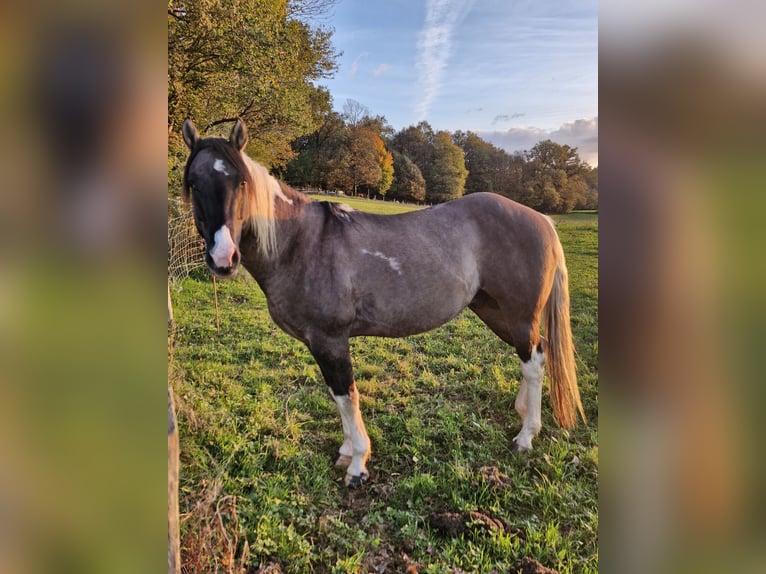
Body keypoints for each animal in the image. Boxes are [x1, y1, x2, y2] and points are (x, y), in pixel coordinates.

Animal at [182, 119, 588, 488]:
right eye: (193, 184)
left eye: (241, 182)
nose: (223, 258)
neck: (300, 242)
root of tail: (541, 219)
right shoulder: (321, 344)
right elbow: (338, 395)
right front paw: (347, 452)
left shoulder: (330, 340)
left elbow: (346, 395)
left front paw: (357, 464)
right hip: (495, 311)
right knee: (535, 355)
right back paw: (522, 414)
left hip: (519, 315)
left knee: (533, 362)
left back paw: (526, 436)